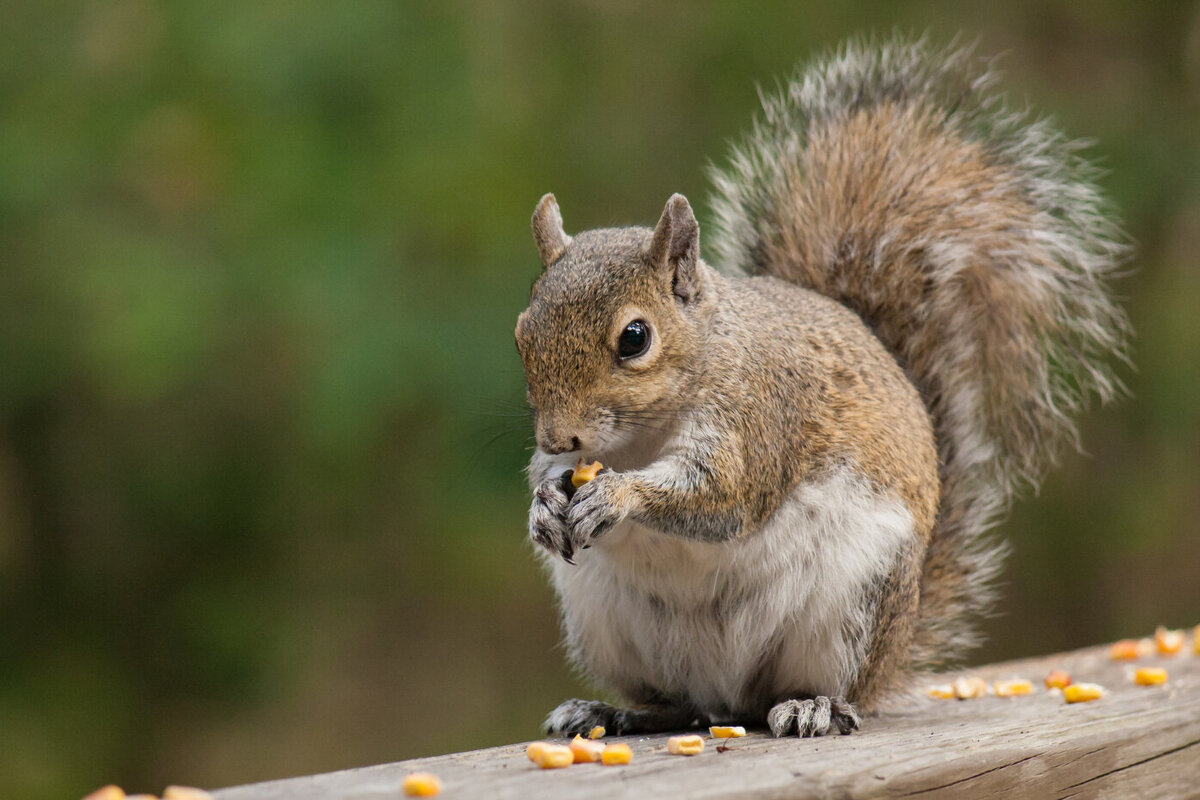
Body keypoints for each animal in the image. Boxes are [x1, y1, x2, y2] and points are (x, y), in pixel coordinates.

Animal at [513, 37, 1123, 738]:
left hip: (854, 607)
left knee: (819, 688)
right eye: (522, 331)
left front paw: (617, 496)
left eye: (635, 338)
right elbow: (554, 481)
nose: (559, 435)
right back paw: (611, 711)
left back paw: (814, 705)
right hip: (606, 623)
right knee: (677, 704)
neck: (645, 434)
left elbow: (720, 497)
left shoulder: (758, 418)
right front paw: (544, 504)